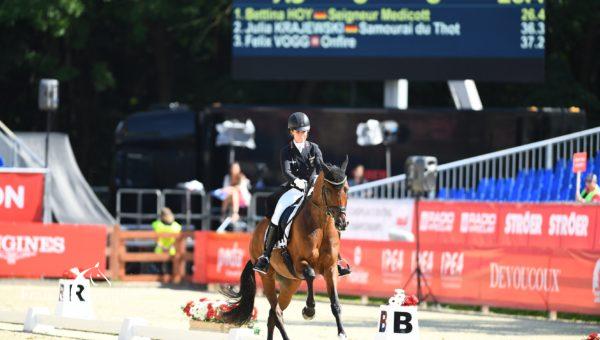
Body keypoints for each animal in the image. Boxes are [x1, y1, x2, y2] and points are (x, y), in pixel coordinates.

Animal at [223, 158, 350, 338]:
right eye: (327, 189)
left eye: (346, 189)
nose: (342, 223)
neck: (321, 225)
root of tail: (256, 231)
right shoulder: (299, 263)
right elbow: (311, 274)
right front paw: (309, 310)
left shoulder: (330, 268)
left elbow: (335, 302)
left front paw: (341, 333)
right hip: (268, 277)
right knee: (276, 312)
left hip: (291, 283)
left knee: (273, 314)